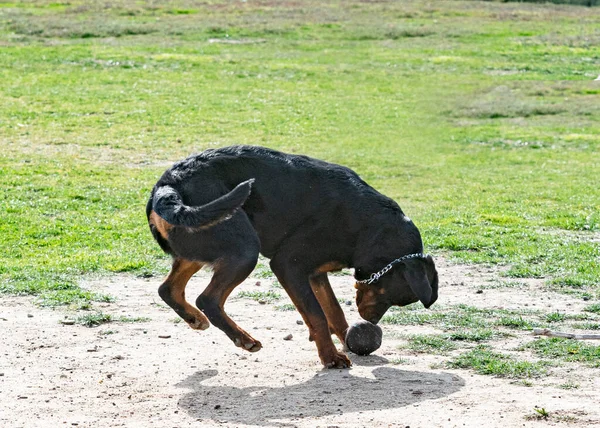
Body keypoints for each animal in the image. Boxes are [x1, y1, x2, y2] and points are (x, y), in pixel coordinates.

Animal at [145, 146, 436, 368]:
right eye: (389, 295)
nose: (371, 322)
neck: (371, 227)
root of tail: (168, 185)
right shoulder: (289, 265)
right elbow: (318, 315)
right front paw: (331, 358)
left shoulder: (315, 273)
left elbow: (332, 310)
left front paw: (345, 338)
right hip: (243, 250)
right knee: (208, 299)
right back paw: (244, 339)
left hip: (201, 247)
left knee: (168, 289)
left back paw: (194, 318)